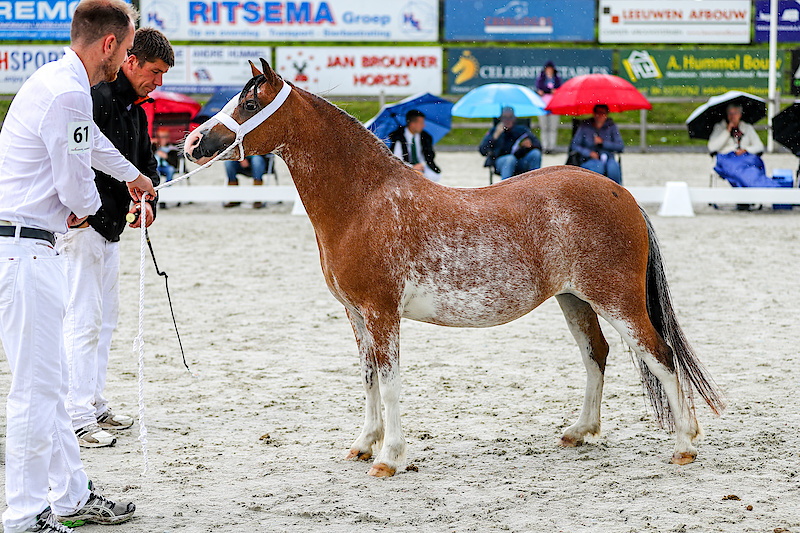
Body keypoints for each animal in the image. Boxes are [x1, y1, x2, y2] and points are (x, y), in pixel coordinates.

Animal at [185, 59, 725, 477]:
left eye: (249, 104)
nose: (192, 144)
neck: (364, 202)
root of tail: (621, 193)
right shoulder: (356, 315)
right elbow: (368, 378)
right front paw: (363, 444)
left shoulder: (382, 314)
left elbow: (390, 381)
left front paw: (389, 458)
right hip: (574, 299)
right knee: (597, 353)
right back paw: (579, 431)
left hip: (617, 299)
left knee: (660, 355)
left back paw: (684, 445)